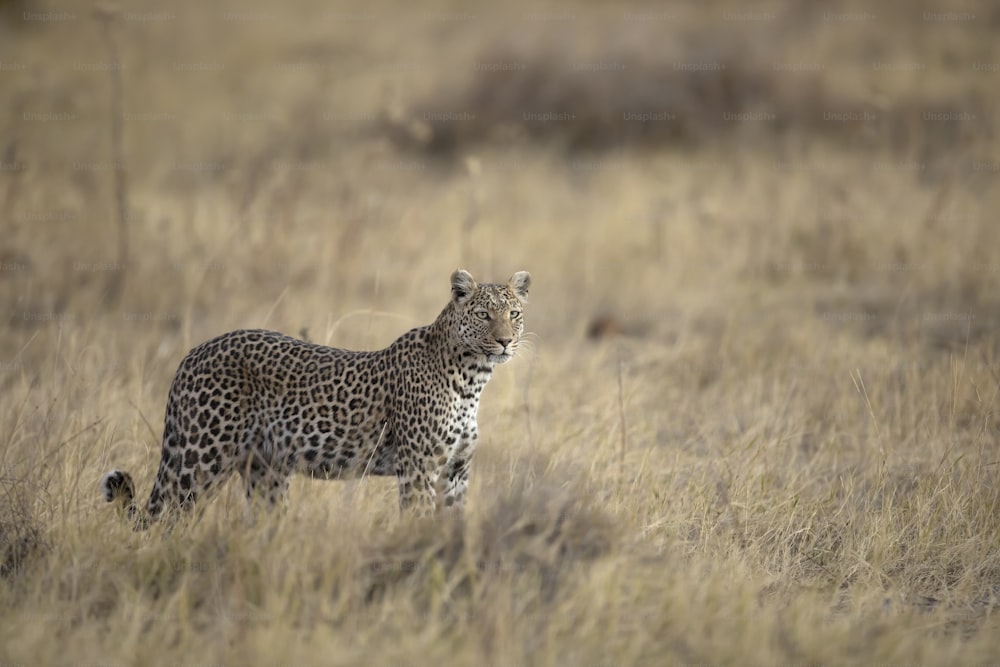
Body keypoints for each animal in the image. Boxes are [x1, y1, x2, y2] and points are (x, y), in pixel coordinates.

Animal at [101, 268, 532, 528]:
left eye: (513, 313)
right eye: (483, 315)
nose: (504, 342)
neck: (473, 379)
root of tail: (194, 353)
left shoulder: (456, 472)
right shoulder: (419, 470)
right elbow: (418, 523)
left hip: (266, 472)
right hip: (199, 460)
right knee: (166, 520)